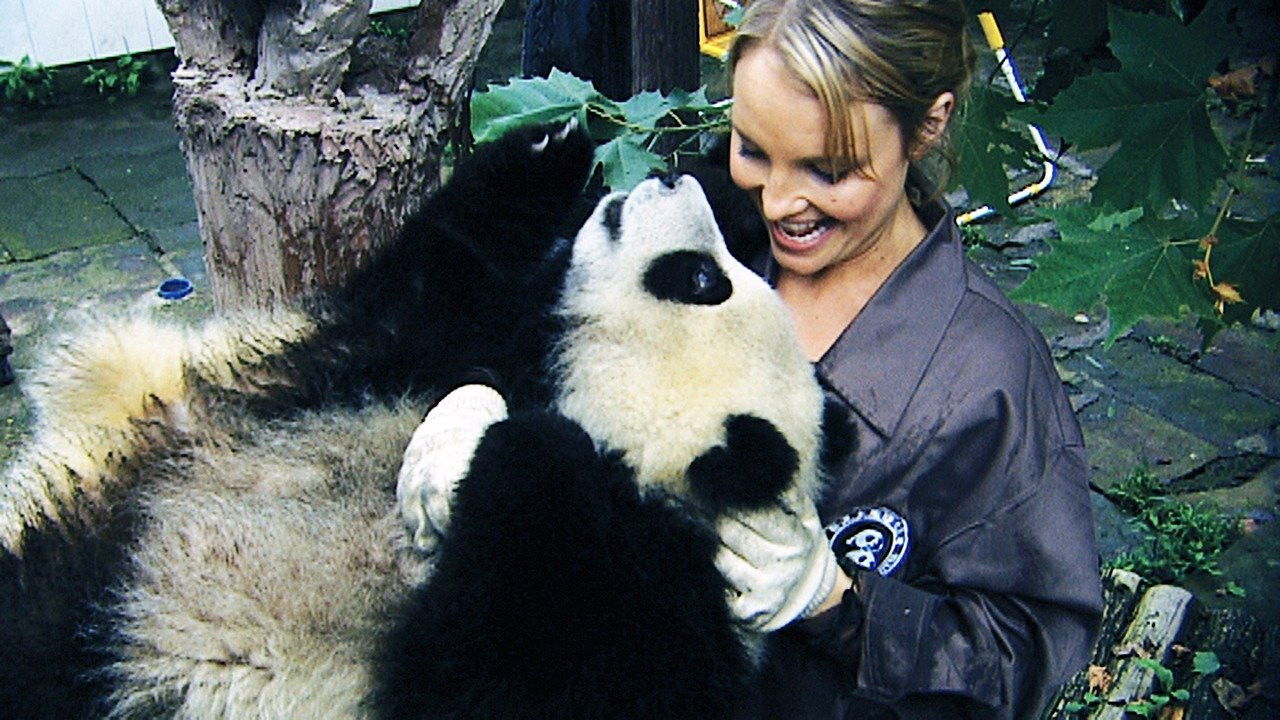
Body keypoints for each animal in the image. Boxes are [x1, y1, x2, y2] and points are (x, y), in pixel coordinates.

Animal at [0, 121, 850, 719]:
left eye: (700, 280)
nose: (667, 176)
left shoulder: (651, 607)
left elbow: (497, 685)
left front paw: (534, 452)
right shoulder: (441, 346)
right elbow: (444, 279)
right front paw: (563, 146)